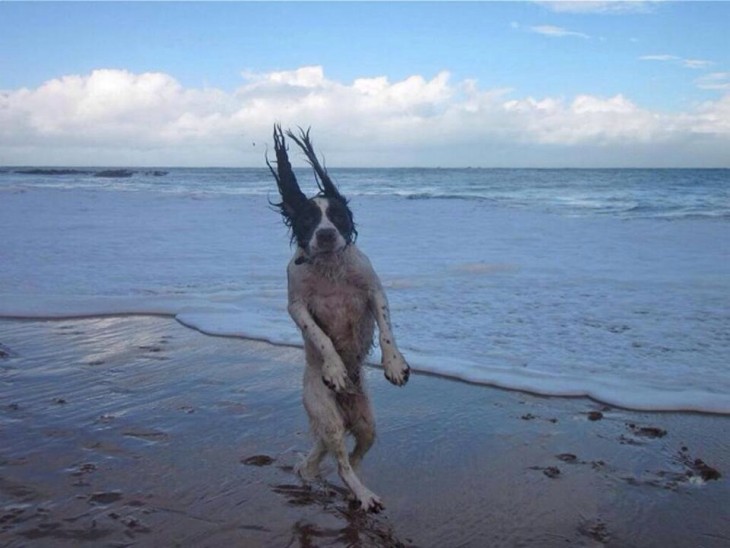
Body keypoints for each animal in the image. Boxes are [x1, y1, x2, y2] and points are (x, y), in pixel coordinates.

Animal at [268, 126, 410, 512]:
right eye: (308, 219)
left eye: (338, 216)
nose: (327, 234)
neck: (330, 267)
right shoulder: (296, 305)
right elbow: (319, 335)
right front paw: (334, 370)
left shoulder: (374, 290)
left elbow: (387, 329)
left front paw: (394, 365)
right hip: (326, 415)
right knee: (342, 462)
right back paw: (361, 494)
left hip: (366, 423)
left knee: (350, 458)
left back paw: (350, 489)